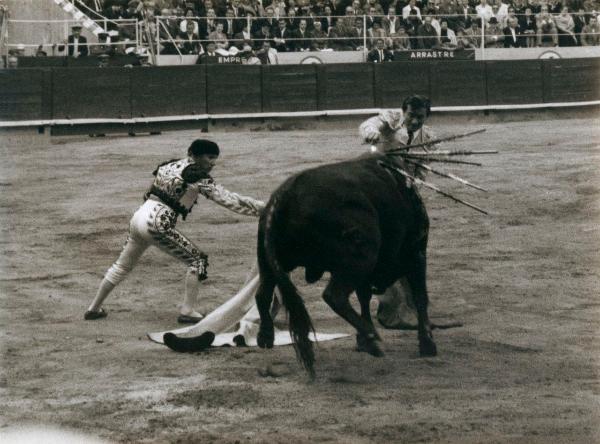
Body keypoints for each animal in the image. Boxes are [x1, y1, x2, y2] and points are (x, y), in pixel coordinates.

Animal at [255, 153, 438, 374]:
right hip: (361, 257)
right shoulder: (416, 254)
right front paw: (427, 344)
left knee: (262, 294)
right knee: (334, 295)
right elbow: (421, 297)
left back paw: (265, 337)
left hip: (269, 262)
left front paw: (364, 340)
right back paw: (370, 335)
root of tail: (285, 195)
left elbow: (364, 298)